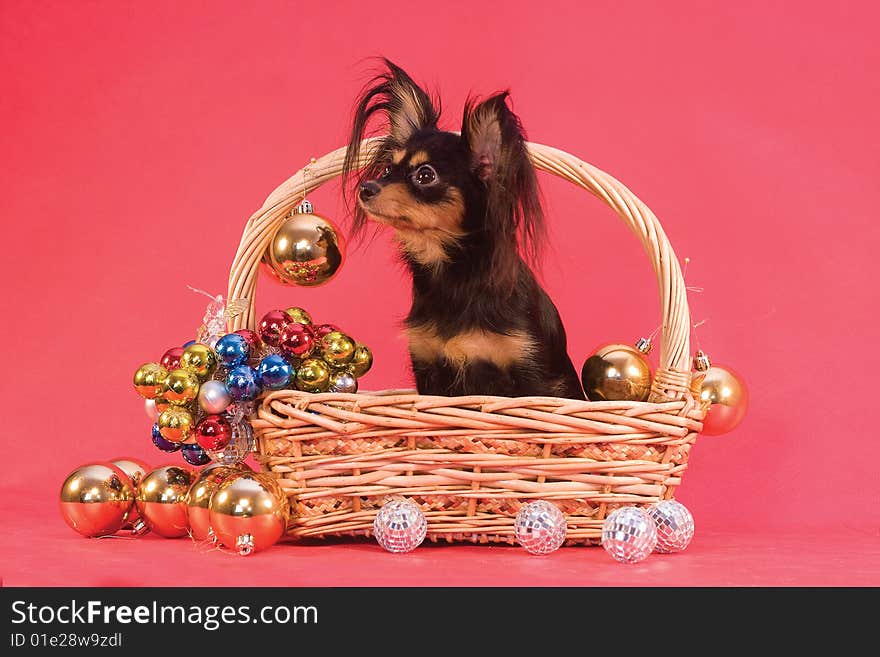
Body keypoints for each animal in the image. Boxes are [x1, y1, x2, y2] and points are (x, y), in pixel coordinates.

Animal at [344, 61, 584, 400]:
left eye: (425, 175)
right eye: (388, 169)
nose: (366, 188)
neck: (453, 272)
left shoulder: (531, 375)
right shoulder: (430, 370)